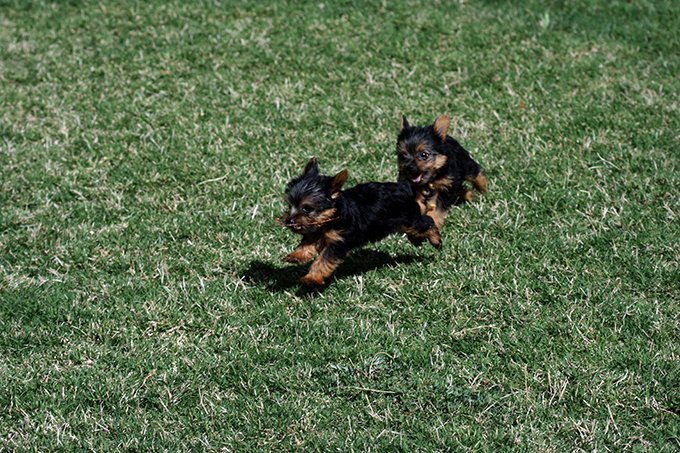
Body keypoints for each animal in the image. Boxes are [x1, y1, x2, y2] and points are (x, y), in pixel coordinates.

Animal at [280, 158, 440, 286]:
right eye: (290, 205)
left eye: (307, 208)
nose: (289, 220)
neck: (333, 216)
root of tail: (405, 188)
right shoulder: (316, 231)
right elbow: (307, 244)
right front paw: (295, 256)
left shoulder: (338, 242)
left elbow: (323, 261)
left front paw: (311, 278)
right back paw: (417, 240)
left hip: (408, 219)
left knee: (427, 222)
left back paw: (436, 241)